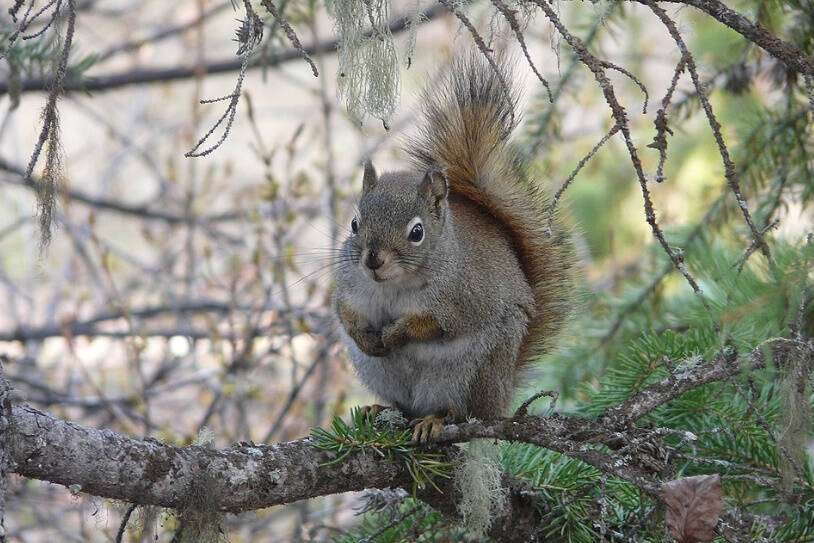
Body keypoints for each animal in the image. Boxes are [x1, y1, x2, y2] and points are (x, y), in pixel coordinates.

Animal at [330, 53, 572, 446]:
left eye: (417, 232)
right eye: (354, 224)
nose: (373, 260)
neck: (393, 287)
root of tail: (502, 396)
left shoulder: (465, 298)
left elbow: (437, 325)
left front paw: (396, 333)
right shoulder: (350, 286)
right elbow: (345, 313)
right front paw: (366, 337)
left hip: (471, 373)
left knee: (461, 413)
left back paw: (434, 420)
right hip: (380, 375)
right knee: (401, 406)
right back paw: (378, 409)